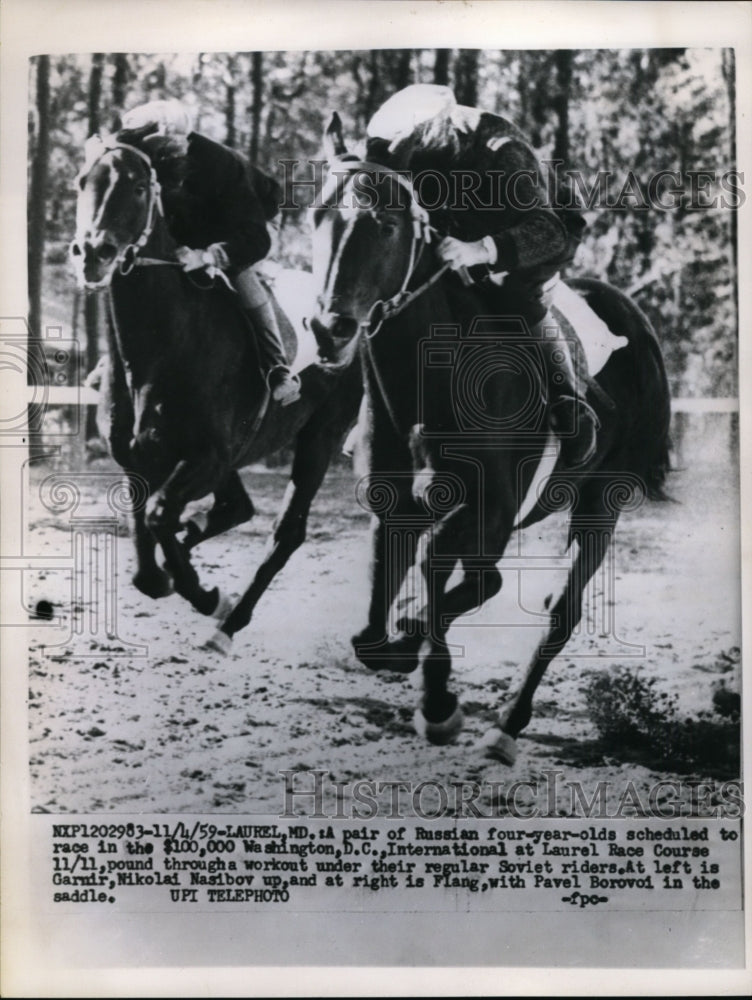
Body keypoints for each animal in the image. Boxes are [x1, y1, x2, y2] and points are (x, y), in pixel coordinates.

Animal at [72, 131, 362, 648]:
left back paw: (229, 622)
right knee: (234, 508)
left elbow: (159, 516)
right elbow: (147, 561)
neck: (158, 351)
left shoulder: (207, 457)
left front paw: (206, 594)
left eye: (139, 188)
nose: (93, 253)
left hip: (319, 436)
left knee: (284, 532)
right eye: (84, 182)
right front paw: (173, 571)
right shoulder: (137, 460)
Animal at [308, 121, 672, 764]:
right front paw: (407, 645)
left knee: (559, 611)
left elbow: (446, 572)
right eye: (316, 216)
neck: (426, 381)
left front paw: (435, 699)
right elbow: (380, 615)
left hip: (602, 497)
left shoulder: (491, 508)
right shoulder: (392, 505)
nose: (331, 329)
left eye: (387, 224)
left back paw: (506, 724)